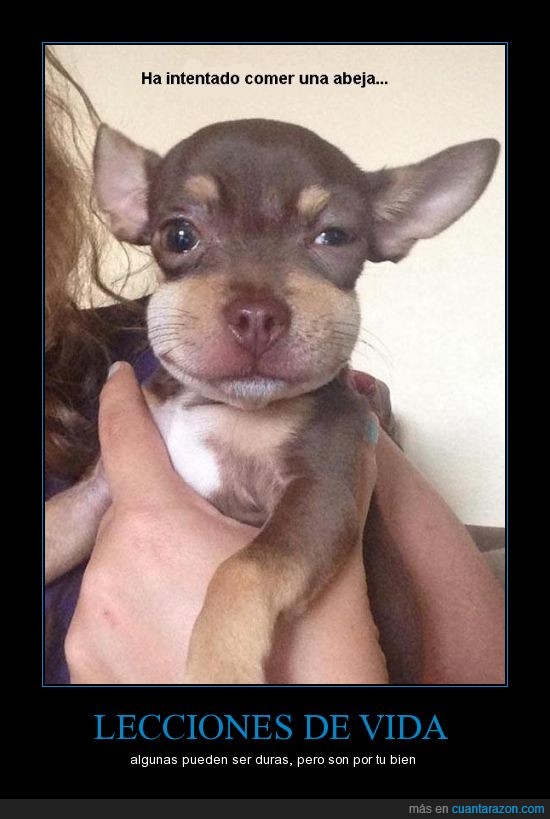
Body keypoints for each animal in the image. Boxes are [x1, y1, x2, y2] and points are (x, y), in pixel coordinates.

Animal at [45, 118, 500, 683]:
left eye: (334, 237)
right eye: (179, 235)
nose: (257, 314)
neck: (221, 407)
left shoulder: (320, 493)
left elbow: (241, 568)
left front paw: (218, 667)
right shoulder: (96, 491)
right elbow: (58, 521)